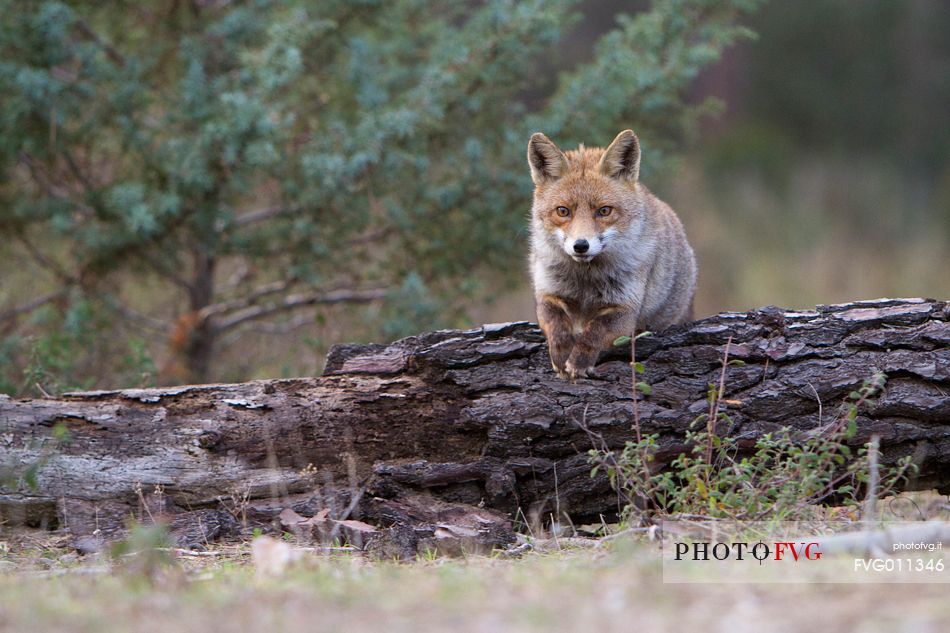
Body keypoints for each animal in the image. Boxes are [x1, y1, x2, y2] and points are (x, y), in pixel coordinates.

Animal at [528, 126, 700, 378]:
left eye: (604, 211)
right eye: (563, 211)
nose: (581, 245)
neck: (586, 281)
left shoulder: (626, 309)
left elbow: (595, 332)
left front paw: (579, 361)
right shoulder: (548, 292)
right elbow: (555, 322)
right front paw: (561, 353)